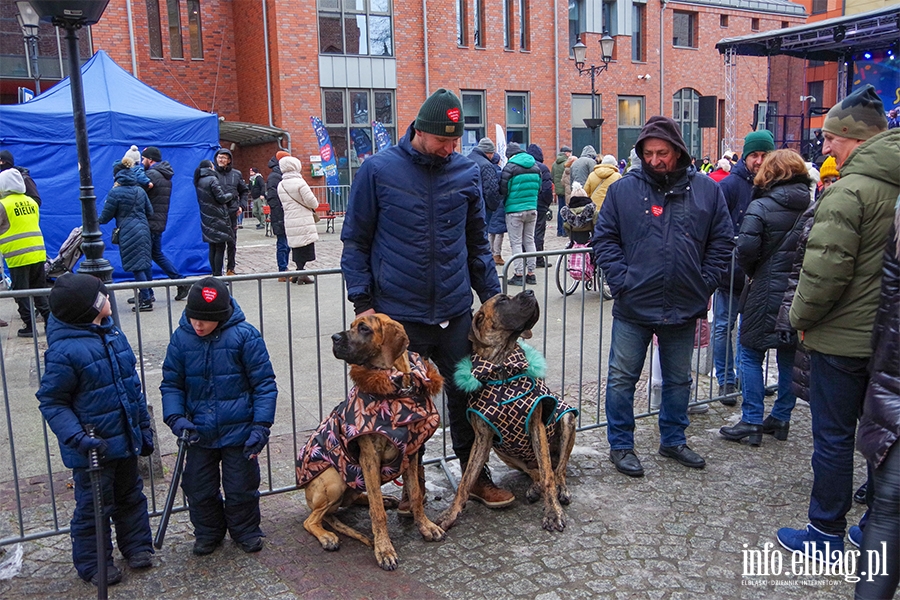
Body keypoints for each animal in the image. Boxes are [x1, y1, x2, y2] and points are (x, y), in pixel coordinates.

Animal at [296, 314, 446, 572]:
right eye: (352, 326)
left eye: (364, 328)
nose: (334, 338)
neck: (396, 390)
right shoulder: (369, 458)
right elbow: (377, 513)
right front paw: (384, 550)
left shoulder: (411, 453)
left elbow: (416, 495)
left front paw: (426, 526)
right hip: (334, 479)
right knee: (312, 519)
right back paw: (327, 536)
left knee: (354, 498)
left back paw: (384, 499)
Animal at [436, 292, 576, 532]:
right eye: (502, 300)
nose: (530, 292)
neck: (500, 366)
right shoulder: (483, 437)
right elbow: (465, 481)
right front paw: (450, 514)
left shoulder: (536, 426)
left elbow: (549, 475)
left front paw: (553, 513)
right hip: (501, 449)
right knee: (535, 471)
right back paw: (535, 487)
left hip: (566, 418)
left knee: (557, 470)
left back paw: (560, 489)